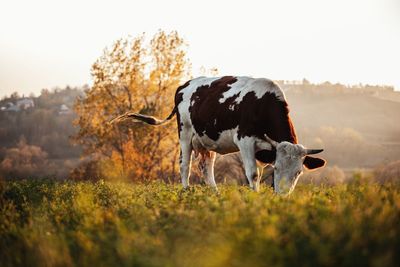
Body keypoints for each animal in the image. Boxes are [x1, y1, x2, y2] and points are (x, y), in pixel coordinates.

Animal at [111, 75, 324, 195]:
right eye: (278, 168)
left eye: (299, 172)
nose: (283, 196)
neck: (263, 103)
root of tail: (184, 85)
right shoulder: (245, 141)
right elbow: (253, 173)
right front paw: (254, 197)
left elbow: (262, 172)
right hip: (185, 133)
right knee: (185, 165)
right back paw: (186, 191)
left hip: (206, 141)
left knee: (206, 166)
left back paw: (215, 193)